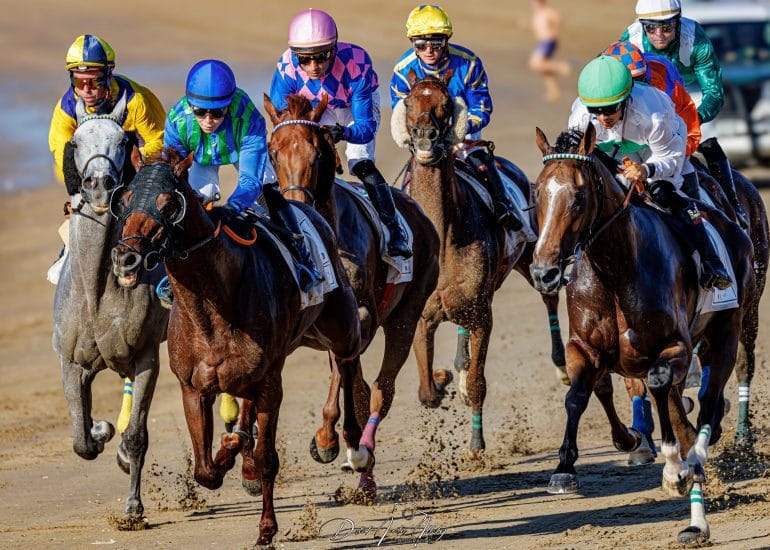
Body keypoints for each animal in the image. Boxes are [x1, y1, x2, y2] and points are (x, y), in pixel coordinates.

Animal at [52, 93, 168, 524]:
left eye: (122, 140)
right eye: (76, 143)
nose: (99, 184)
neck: (96, 292)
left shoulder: (147, 354)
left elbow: (136, 435)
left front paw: (133, 507)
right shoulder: (71, 361)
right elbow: (80, 440)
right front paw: (100, 430)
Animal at [109, 149, 367, 546]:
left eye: (169, 204)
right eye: (122, 201)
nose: (126, 258)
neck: (212, 304)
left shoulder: (271, 385)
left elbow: (266, 460)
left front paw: (266, 530)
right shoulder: (192, 387)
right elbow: (205, 471)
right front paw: (229, 450)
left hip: (340, 325)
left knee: (346, 361)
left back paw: (348, 443)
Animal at [263, 93, 440, 497]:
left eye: (316, 154)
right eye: (273, 152)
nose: (293, 207)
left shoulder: (361, 319)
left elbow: (350, 383)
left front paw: (328, 440)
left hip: (406, 316)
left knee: (381, 390)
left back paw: (362, 459)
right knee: (359, 388)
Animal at [390, 70, 535, 455]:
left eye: (444, 103)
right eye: (409, 100)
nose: (425, 136)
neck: (443, 240)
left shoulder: (481, 313)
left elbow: (477, 383)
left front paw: (476, 442)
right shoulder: (422, 316)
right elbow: (427, 392)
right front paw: (441, 379)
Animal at [530, 124, 755, 544]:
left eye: (579, 196)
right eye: (537, 192)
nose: (544, 272)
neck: (615, 271)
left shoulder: (676, 346)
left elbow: (660, 382)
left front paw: (674, 467)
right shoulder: (583, 348)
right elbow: (577, 396)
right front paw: (564, 468)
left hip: (727, 332)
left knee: (707, 402)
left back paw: (693, 466)